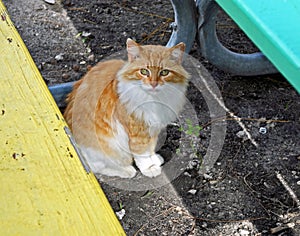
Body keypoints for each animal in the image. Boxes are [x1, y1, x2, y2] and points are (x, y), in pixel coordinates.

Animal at [63, 38, 190, 178]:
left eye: (164, 72)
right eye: (144, 72)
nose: (153, 84)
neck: (154, 99)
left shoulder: (153, 128)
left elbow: (150, 148)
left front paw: (155, 160)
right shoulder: (137, 132)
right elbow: (142, 154)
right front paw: (150, 168)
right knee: (96, 167)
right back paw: (127, 171)